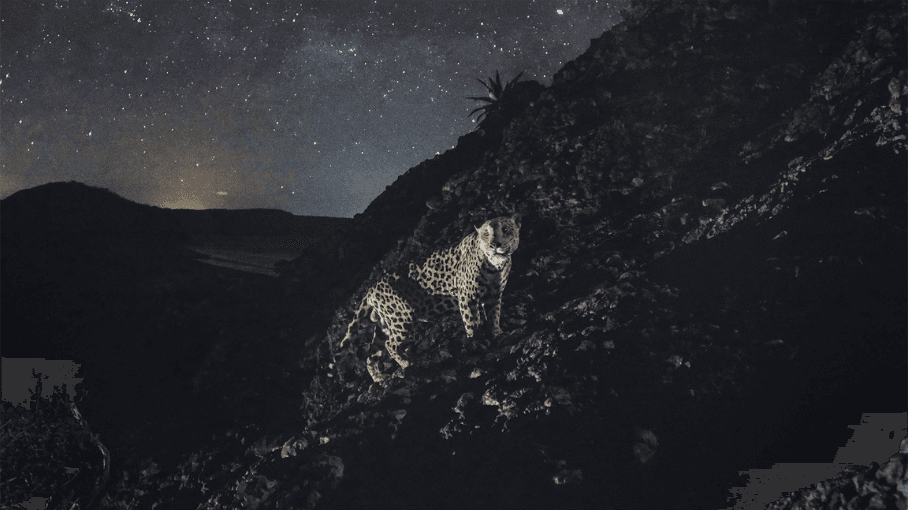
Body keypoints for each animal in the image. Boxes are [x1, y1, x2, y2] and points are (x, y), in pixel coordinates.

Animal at [339, 214, 521, 384]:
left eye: (505, 229)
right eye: (485, 234)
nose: (494, 245)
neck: (495, 266)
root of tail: (370, 290)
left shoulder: (494, 296)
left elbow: (494, 316)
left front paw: (497, 334)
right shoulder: (467, 297)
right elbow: (472, 323)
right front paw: (477, 343)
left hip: (384, 324)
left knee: (372, 353)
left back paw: (379, 377)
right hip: (401, 319)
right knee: (390, 344)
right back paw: (406, 363)